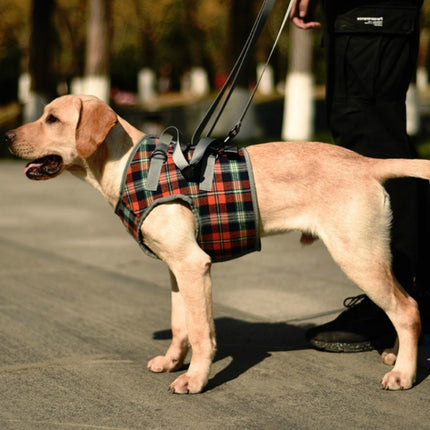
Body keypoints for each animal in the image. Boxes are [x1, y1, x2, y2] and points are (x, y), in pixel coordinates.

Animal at [5, 94, 428, 394]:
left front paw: (194, 379)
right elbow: (180, 325)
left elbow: (201, 333)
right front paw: (173, 361)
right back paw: (395, 356)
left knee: (408, 309)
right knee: (403, 303)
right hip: (370, 255)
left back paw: (403, 374)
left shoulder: (193, 265)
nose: (5, 136)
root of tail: (366, 163)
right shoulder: (176, 268)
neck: (128, 165)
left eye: (52, 119)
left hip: (357, 254)